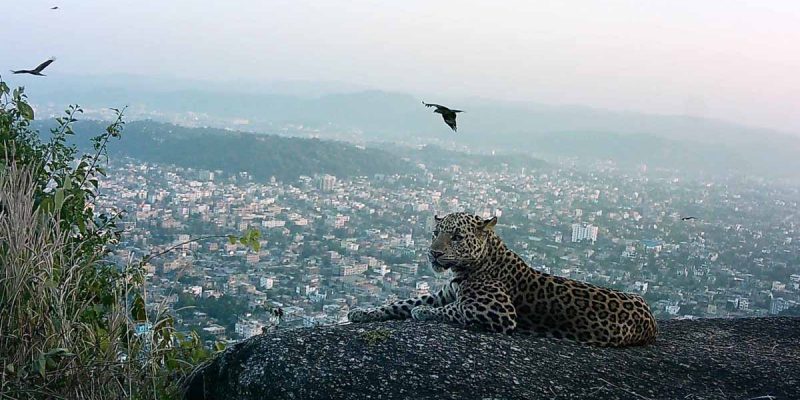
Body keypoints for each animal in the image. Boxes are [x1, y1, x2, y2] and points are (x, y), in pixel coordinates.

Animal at [348, 212, 658, 347]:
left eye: (457, 237)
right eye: (436, 233)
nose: (433, 253)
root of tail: (652, 319)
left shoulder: (499, 312)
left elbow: (454, 309)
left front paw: (423, 312)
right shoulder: (442, 293)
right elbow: (400, 303)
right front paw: (362, 313)